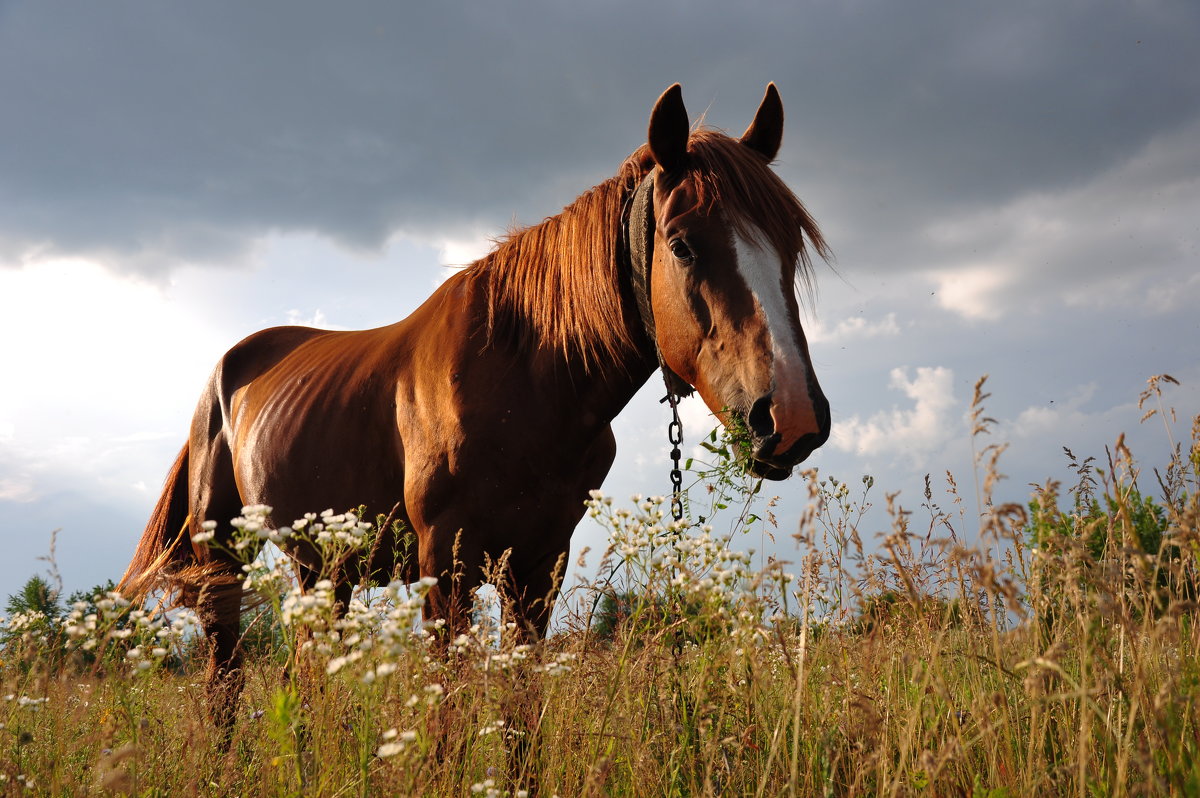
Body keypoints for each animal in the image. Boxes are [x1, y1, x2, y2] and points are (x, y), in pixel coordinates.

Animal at [124, 81, 835, 720]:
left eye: (791, 245)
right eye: (683, 244)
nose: (792, 417)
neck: (527, 380)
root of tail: (224, 375)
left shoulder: (538, 569)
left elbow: (522, 715)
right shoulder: (447, 565)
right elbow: (450, 718)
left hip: (325, 570)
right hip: (225, 565)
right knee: (224, 686)